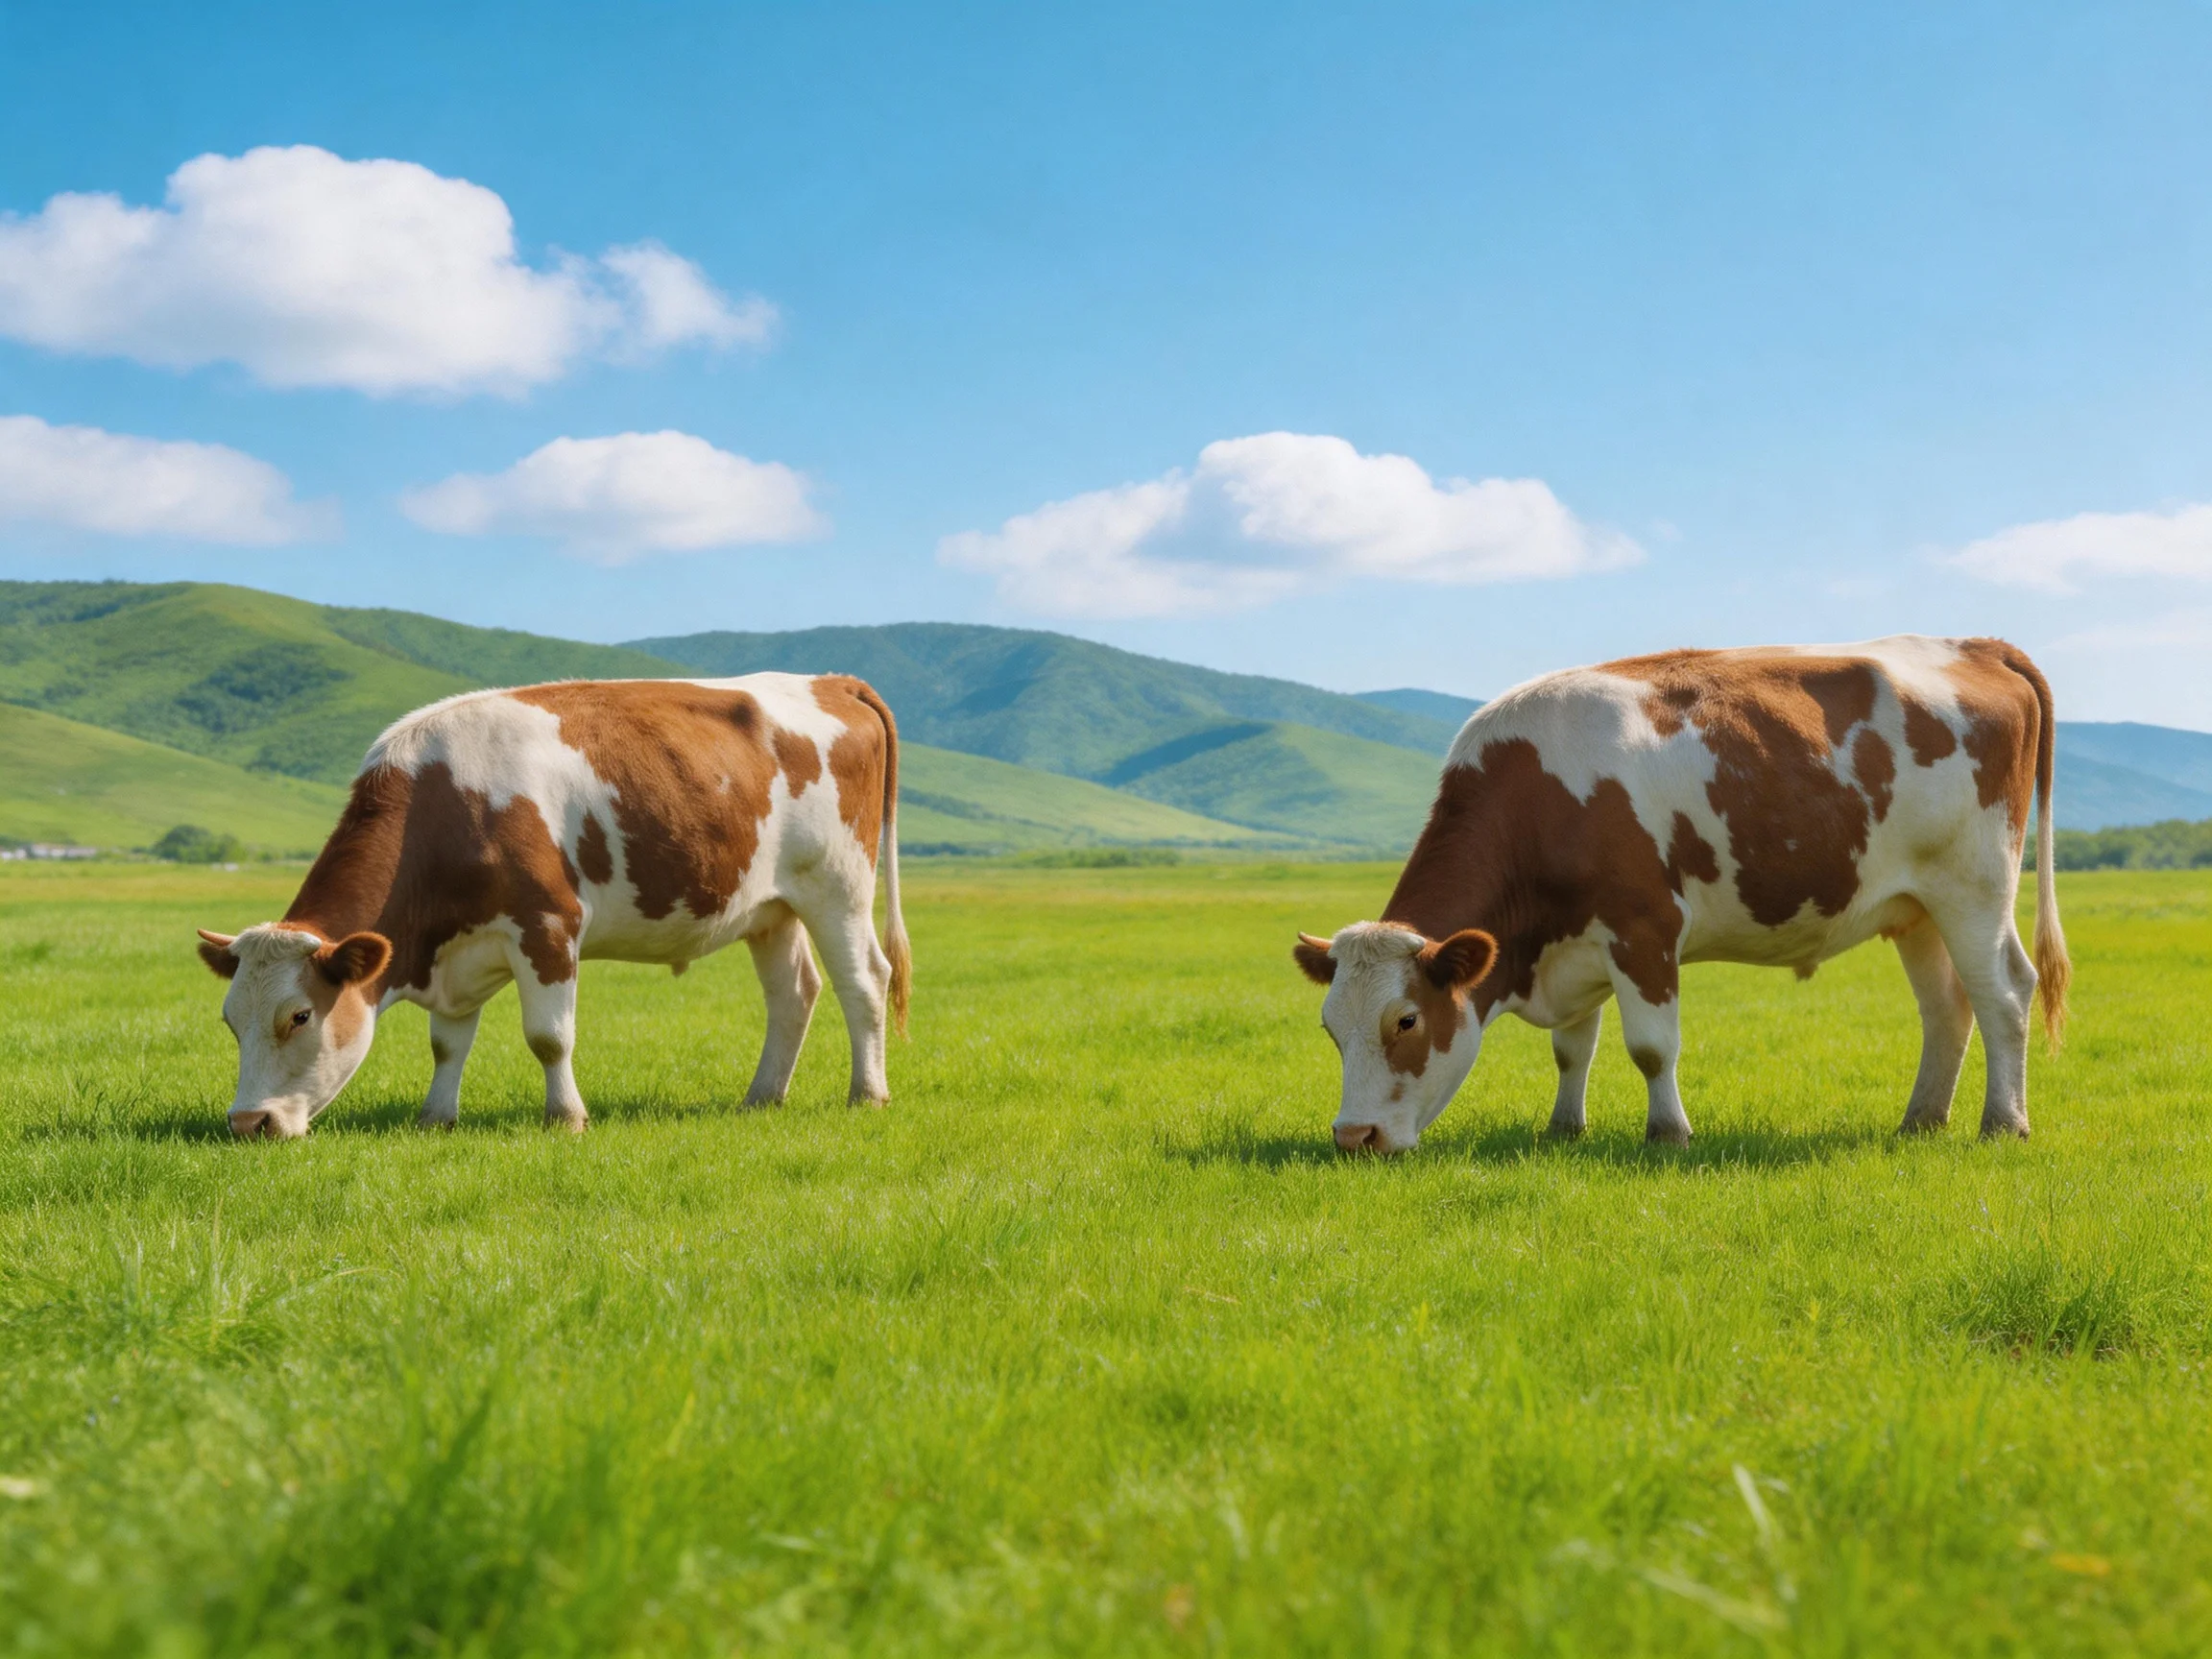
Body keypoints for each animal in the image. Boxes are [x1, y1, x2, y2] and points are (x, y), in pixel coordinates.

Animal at [196, 674, 911, 1139]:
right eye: (230, 1020)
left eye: (299, 1016)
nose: (248, 1122)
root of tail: (829, 680)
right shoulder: (462, 949)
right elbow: (446, 1044)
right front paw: (435, 1117)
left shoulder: (547, 925)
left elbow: (548, 1037)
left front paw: (565, 1118)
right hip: (771, 908)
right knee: (794, 993)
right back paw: (761, 1099)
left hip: (837, 885)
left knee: (863, 981)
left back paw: (868, 1095)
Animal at [1294, 636, 2069, 1152]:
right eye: (1329, 1028)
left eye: (1406, 1021)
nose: (1353, 1136)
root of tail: (1972, 644)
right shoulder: (1577, 944)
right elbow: (1573, 1050)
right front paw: (1564, 1128)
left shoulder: (1644, 927)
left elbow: (1649, 1048)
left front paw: (1668, 1133)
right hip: (1917, 909)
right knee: (1947, 1007)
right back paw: (1921, 1121)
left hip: (1975, 887)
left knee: (2005, 991)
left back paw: (2004, 1124)